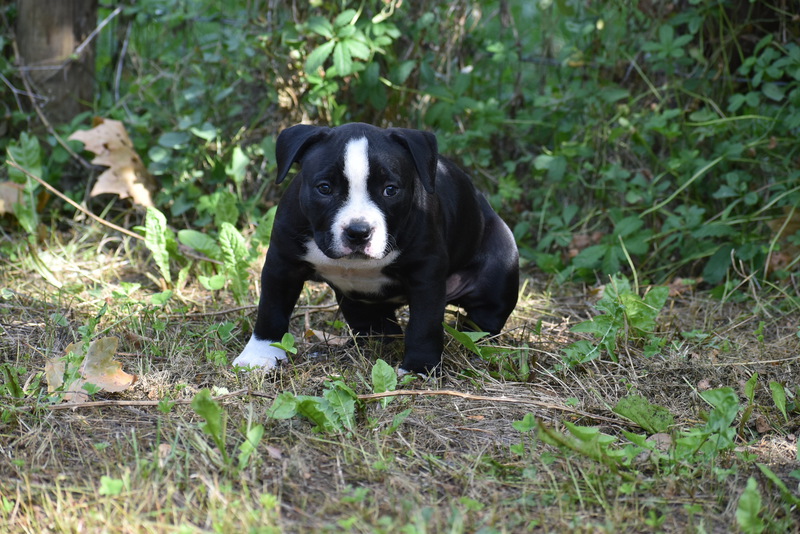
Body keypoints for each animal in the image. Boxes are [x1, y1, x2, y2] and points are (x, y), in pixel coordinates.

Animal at [233, 123, 519, 374]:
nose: (358, 231)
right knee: (378, 325)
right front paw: (258, 354)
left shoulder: (426, 275)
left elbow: (424, 324)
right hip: (357, 304)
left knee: (486, 316)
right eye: (324, 188)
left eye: (390, 190)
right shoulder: (282, 265)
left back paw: (476, 340)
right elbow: (271, 310)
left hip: (499, 271)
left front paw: (420, 367)